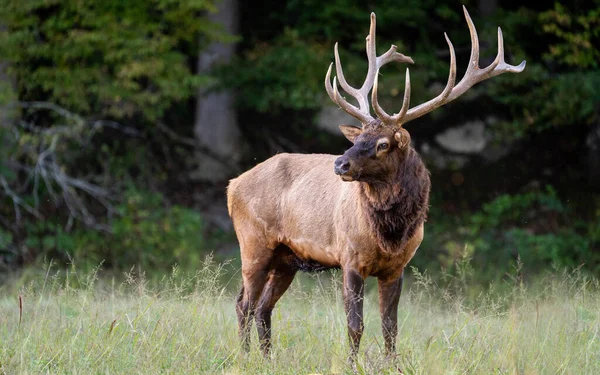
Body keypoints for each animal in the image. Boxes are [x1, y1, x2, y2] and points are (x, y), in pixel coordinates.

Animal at [226, 5, 524, 358]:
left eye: (383, 144)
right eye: (358, 138)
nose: (340, 163)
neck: (389, 235)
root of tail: (232, 185)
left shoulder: (398, 267)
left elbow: (390, 328)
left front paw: (393, 364)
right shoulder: (349, 258)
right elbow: (355, 326)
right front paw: (352, 363)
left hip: (286, 259)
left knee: (263, 307)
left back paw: (267, 358)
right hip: (253, 243)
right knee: (243, 304)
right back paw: (246, 357)